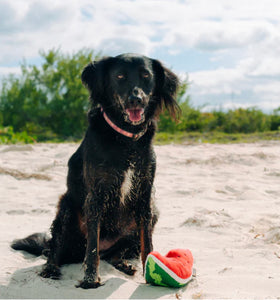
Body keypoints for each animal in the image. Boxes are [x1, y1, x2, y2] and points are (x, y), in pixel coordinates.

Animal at [10, 53, 179, 288]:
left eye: (146, 75)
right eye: (120, 76)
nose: (135, 99)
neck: (126, 139)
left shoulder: (145, 193)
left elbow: (147, 242)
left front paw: (150, 273)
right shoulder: (96, 195)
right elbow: (92, 248)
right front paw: (90, 280)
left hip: (151, 214)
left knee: (115, 254)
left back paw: (124, 264)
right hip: (66, 208)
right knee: (55, 250)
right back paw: (50, 269)